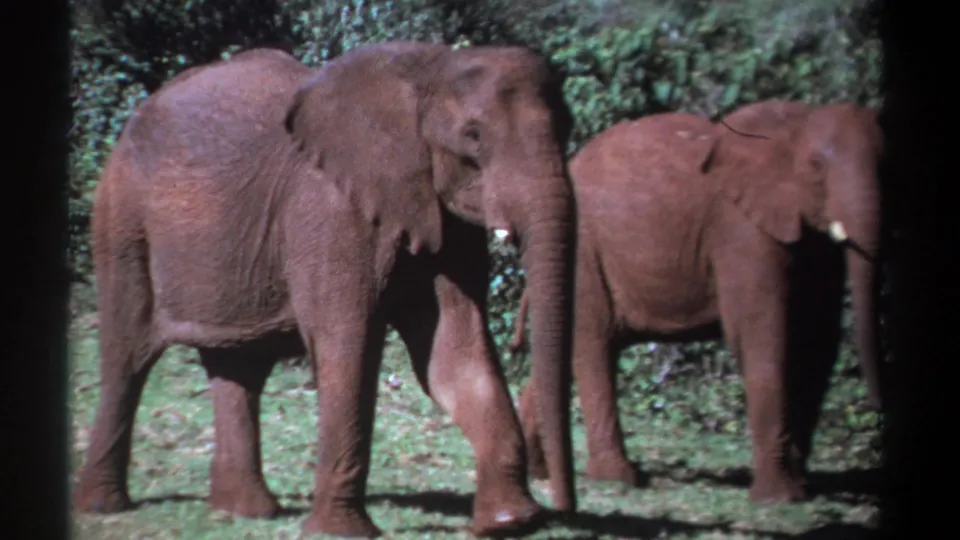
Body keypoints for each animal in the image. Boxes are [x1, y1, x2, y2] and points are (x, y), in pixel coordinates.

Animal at [70, 42, 579, 538]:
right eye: (473, 136)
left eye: (568, 127)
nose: (563, 508)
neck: (428, 68)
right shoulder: (330, 210)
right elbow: (347, 345)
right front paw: (341, 533)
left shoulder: (445, 219)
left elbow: (456, 353)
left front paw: (510, 522)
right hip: (122, 224)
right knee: (128, 355)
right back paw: (103, 506)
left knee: (238, 367)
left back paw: (248, 513)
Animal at [510, 100, 884, 504]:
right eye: (815, 166)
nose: (879, 407)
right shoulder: (740, 228)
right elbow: (763, 334)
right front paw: (779, 498)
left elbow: (818, 340)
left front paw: (800, 488)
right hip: (584, 256)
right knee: (594, 348)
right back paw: (618, 479)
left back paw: (542, 473)